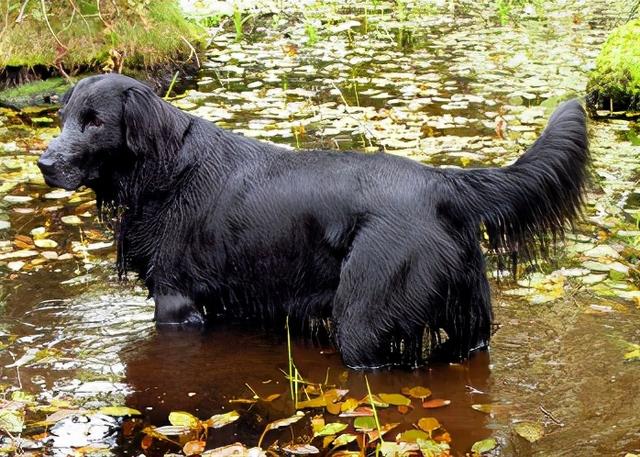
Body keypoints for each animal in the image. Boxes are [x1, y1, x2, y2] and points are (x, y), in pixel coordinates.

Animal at [37, 74, 592, 366]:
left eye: (95, 122)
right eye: (62, 118)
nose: (44, 164)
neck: (165, 169)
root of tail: (443, 182)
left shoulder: (175, 300)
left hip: (364, 318)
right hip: (468, 322)